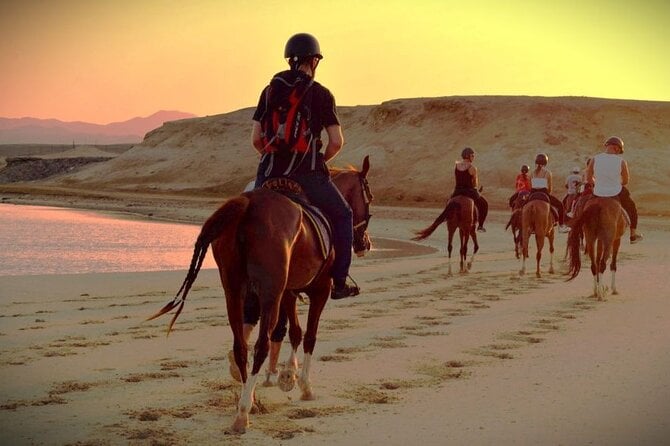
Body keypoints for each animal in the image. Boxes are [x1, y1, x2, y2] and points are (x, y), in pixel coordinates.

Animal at [147, 156, 373, 433]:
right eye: (369, 197)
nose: (366, 244)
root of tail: (248, 204)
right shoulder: (318, 291)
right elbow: (308, 336)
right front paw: (303, 384)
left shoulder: (287, 292)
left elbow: (294, 331)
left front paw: (287, 375)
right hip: (268, 294)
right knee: (261, 345)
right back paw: (243, 412)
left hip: (235, 291)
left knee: (241, 345)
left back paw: (248, 399)